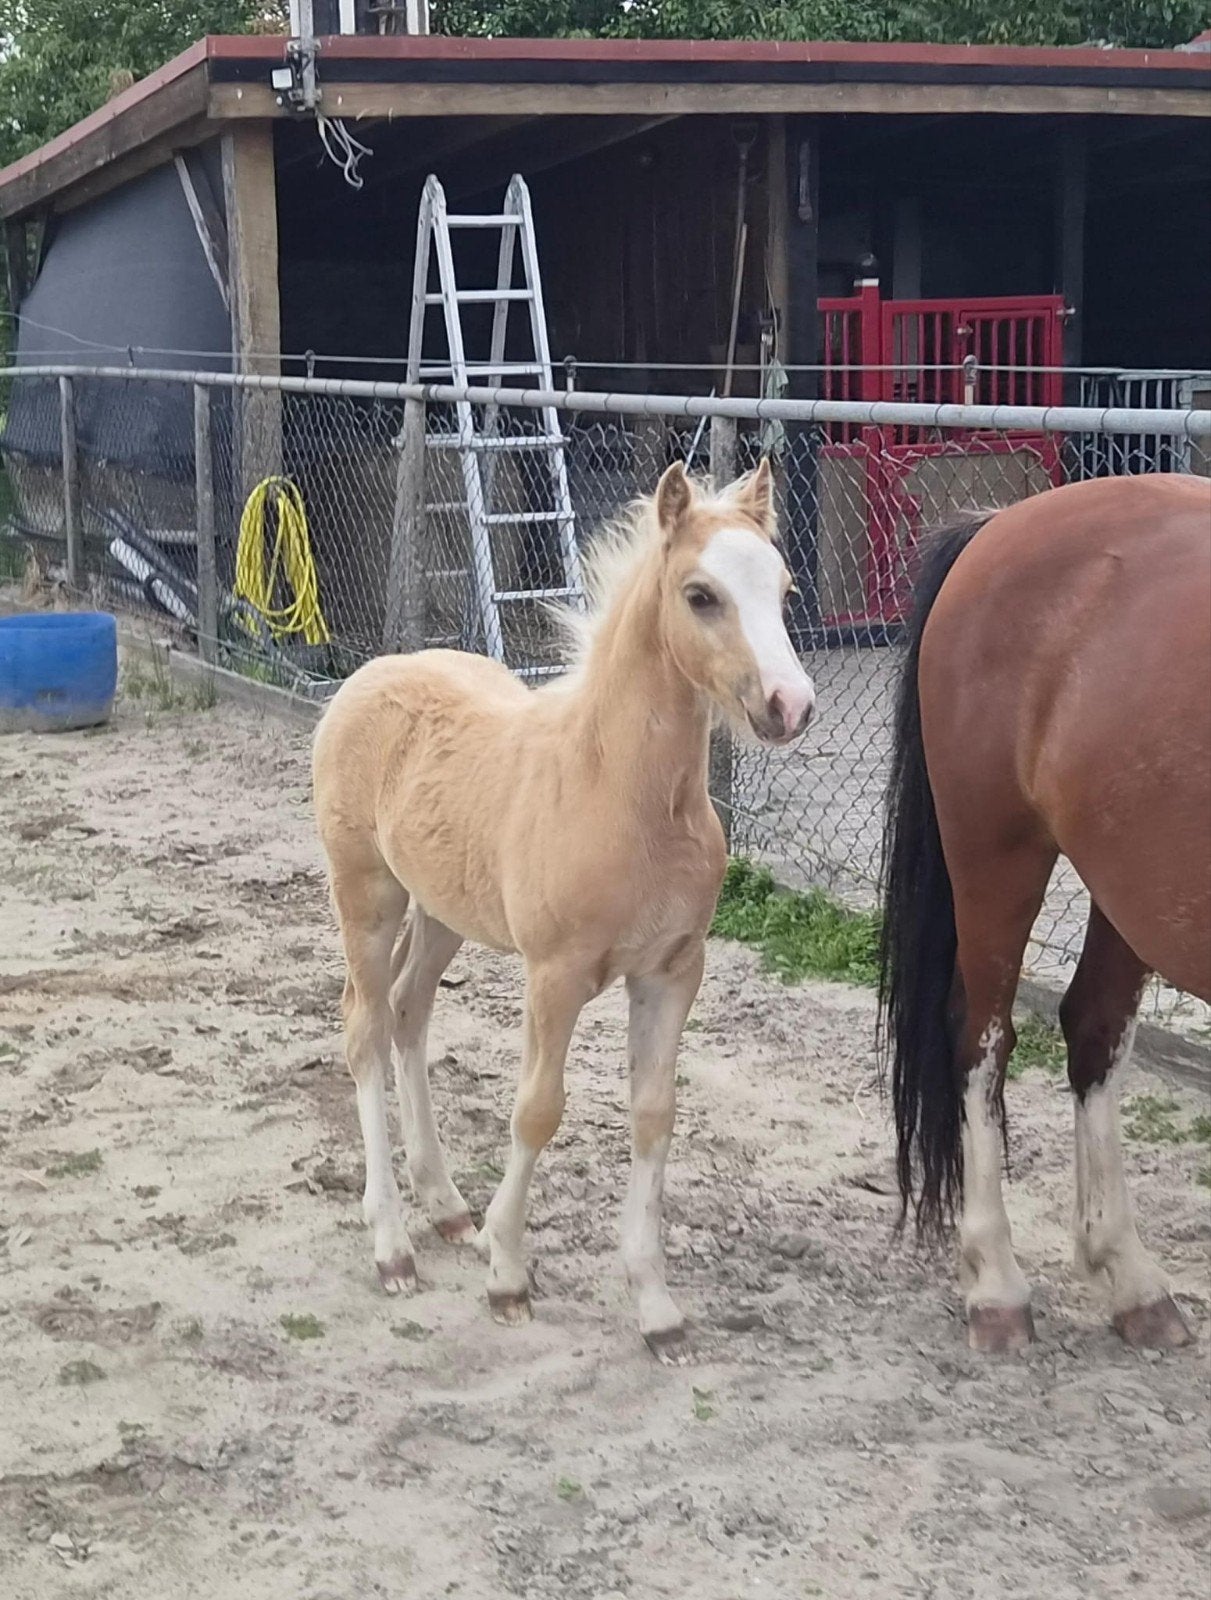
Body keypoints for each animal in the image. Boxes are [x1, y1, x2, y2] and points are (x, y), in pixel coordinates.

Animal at [312, 459, 813, 1357]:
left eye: (784, 587)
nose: (790, 705)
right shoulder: (554, 976)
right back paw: (393, 1245)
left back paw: (446, 1206)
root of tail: (371, 674)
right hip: (365, 894)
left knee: (407, 1012)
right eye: (700, 595)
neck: (621, 793)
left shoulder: (672, 972)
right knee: (364, 1028)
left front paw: (656, 1308)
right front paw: (508, 1275)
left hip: (441, 912)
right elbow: (538, 1111)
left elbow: (653, 1114)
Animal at [879, 471, 1211, 1354]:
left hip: (1124, 879)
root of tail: (999, 522)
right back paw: (995, 1285)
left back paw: (1130, 1281)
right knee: (980, 1038)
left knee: (1092, 1029)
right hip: (995, 853)